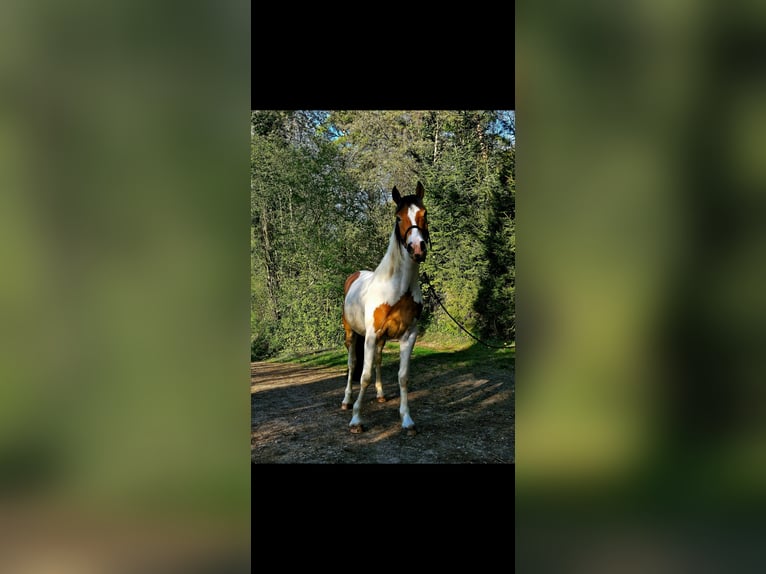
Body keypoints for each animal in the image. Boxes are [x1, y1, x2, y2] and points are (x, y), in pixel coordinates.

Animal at [341, 181, 430, 435]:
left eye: (424, 214)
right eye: (398, 218)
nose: (417, 248)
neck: (397, 288)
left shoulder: (408, 335)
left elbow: (403, 377)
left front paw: (407, 421)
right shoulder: (370, 336)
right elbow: (364, 376)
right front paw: (356, 420)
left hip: (380, 340)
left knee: (378, 360)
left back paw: (380, 395)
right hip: (352, 334)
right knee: (352, 364)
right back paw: (346, 401)